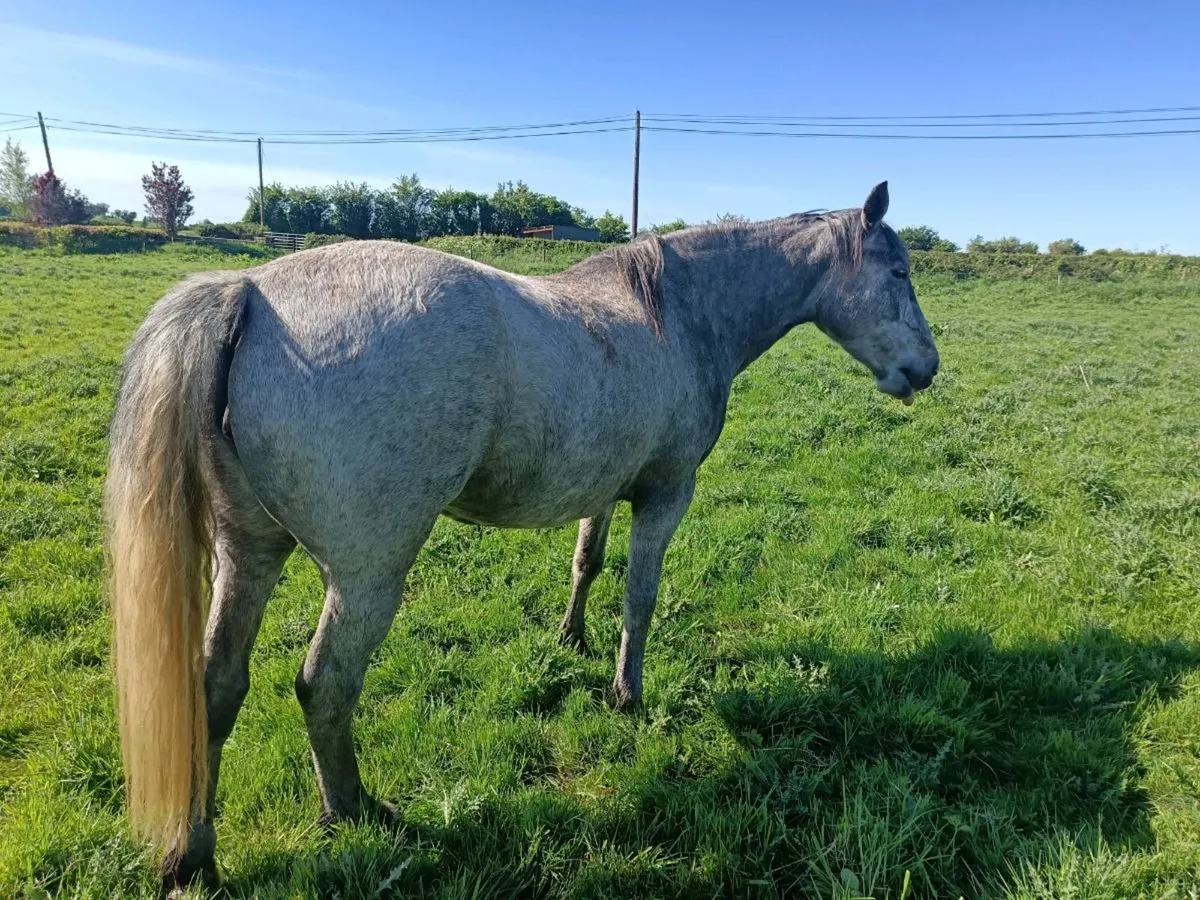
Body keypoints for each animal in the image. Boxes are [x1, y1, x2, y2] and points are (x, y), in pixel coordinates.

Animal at [103, 181, 939, 890]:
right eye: (898, 270)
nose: (926, 369)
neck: (679, 315)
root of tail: (249, 292)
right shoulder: (666, 495)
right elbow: (640, 599)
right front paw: (626, 693)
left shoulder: (603, 490)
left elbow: (587, 563)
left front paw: (570, 640)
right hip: (367, 576)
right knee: (324, 687)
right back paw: (355, 812)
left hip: (250, 553)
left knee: (216, 687)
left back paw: (194, 859)